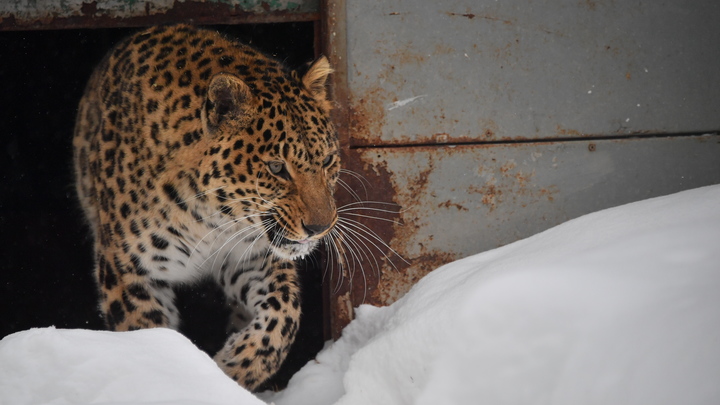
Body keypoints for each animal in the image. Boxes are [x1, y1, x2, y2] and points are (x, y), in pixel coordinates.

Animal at [74, 23, 338, 390]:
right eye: (276, 168)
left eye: (327, 161)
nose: (320, 227)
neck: (211, 217)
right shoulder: (129, 271)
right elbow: (149, 336)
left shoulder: (249, 256)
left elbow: (284, 314)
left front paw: (233, 368)